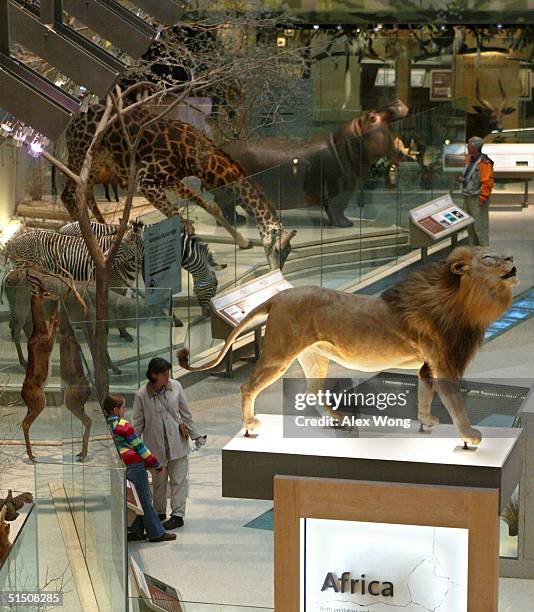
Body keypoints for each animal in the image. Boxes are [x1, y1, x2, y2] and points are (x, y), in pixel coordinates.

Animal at [61, 106, 298, 270]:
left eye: (289, 251)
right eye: (278, 250)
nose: (276, 273)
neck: (198, 157)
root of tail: (71, 121)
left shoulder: (171, 179)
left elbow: (209, 206)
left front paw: (243, 241)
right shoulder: (146, 181)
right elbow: (181, 220)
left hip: (98, 162)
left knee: (84, 193)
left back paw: (101, 230)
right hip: (82, 154)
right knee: (68, 194)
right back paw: (82, 237)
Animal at [179, 246, 520, 448]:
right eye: (488, 258)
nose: (513, 260)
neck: (461, 298)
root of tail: (278, 295)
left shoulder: (429, 365)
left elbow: (425, 393)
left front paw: (426, 422)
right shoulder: (445, 363)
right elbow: (457, 404)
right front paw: (470, 436)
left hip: (314, 357)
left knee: (313, 391)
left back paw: (338, 419)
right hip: (279, 354)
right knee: (248, 386)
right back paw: (249, 426)